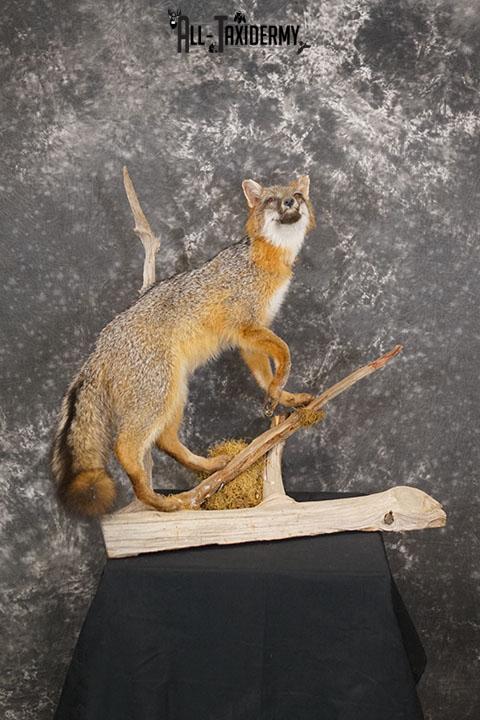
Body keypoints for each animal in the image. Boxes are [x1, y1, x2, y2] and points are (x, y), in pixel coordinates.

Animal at [51, 175, 316, 516]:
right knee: (125, 449)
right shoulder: (245, 327)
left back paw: (207, 471)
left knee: (165, 442)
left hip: (174, 393)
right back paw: (160, 502)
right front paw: (281, 386)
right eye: (272, 199)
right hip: (158, 397)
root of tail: (97, 349)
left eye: (296, 194)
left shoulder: (249, 337)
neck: (264, 259)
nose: (290, 202)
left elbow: (265, 374)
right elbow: (285, 351)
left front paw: (283, 396)